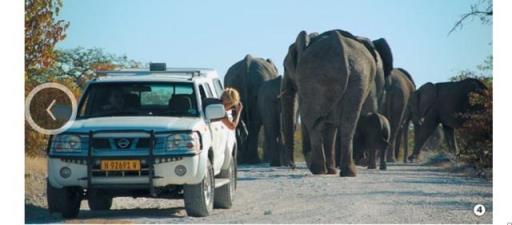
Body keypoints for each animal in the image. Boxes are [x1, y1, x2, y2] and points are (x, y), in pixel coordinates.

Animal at [280, 29, 392, 177]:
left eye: (285, 67)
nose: (292, 166)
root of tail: (343, 52)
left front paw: (328, 170)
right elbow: (330, 126)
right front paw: (332, 171)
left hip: (320, 76)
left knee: (313, 121)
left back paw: (318, 170)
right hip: (357, 78)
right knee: (348, 124)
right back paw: (348, 172)